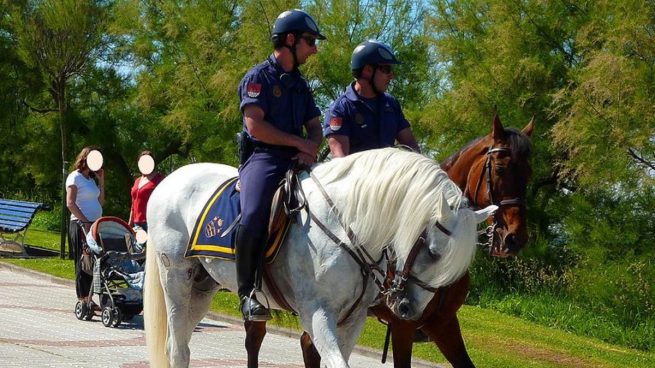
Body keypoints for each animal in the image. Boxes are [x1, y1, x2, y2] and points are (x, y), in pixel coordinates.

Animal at [142, 147, 492, 368]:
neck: (346, 223)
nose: (408, 310)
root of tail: (170, 180)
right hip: (176, 279)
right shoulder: (317, 314)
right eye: (433, 252)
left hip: (202, 288)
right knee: (178, 349)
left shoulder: (354, 319)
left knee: (181, 344)